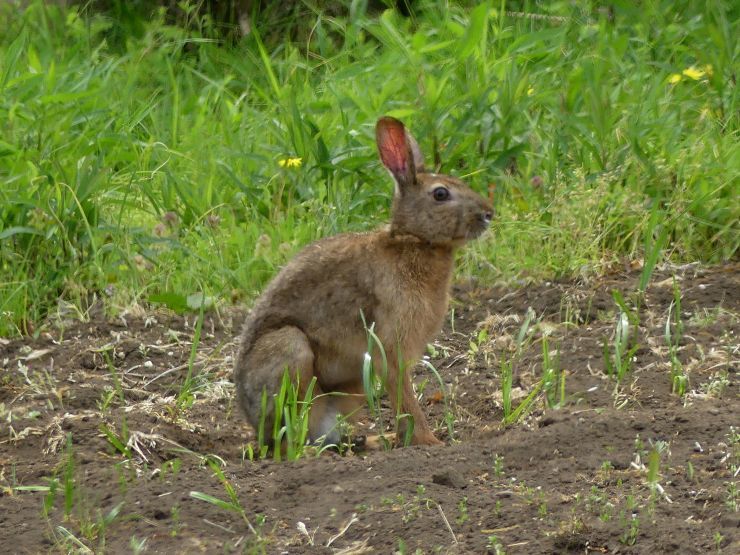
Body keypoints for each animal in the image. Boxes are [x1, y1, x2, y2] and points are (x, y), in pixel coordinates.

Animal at [234, 117, 494, 448]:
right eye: (440, 194)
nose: (488, 213)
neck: (414, 240)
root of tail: (252, 421)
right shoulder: (392, 347)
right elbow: (404, 397)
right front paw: (429, 441)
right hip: (290, 350)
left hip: (352, 384)